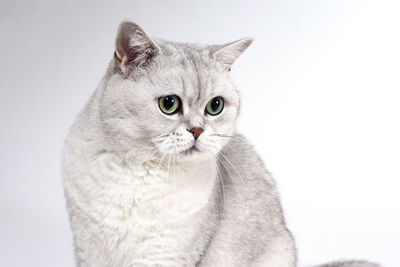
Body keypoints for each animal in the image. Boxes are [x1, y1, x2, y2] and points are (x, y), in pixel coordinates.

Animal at [63, 21, 382, 267]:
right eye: (169, 104)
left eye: (215, 106)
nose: (197, 130)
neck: (140, 173)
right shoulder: (88, 248)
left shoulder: (164, 254)